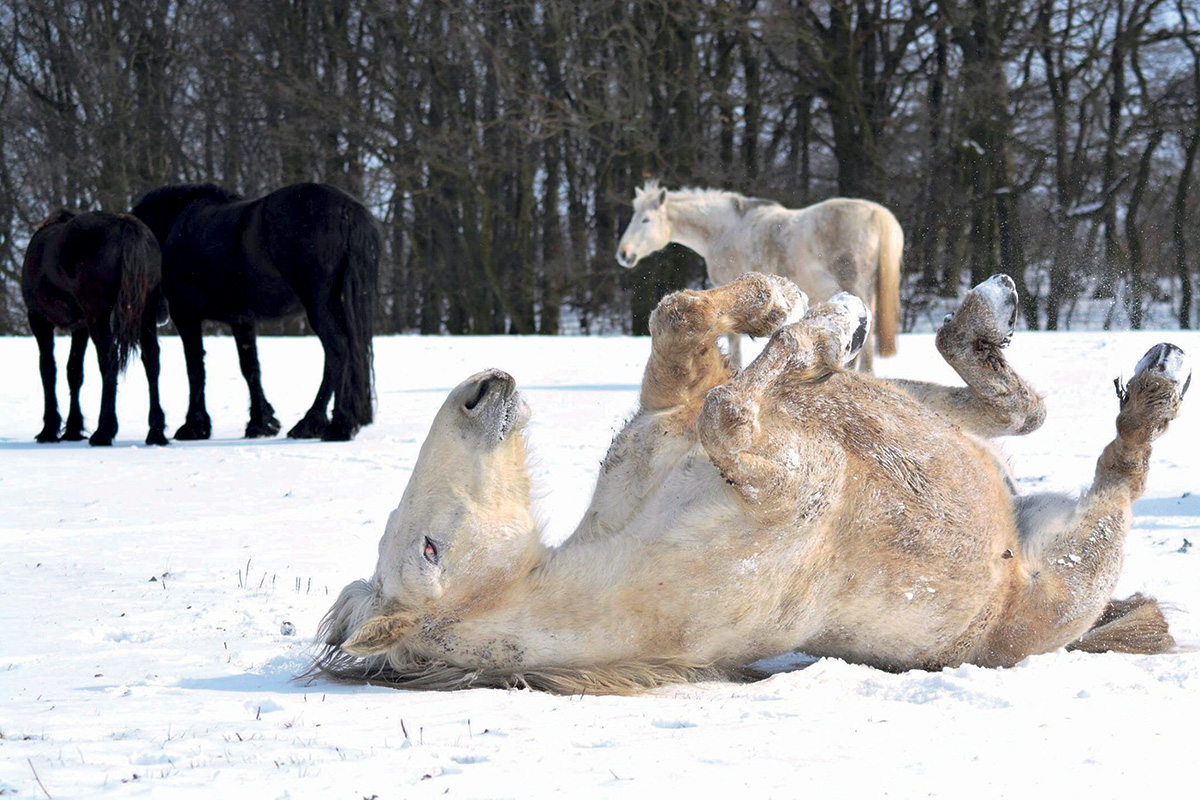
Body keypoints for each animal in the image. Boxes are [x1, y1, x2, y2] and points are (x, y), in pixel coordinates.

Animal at [21, 209, 168, 448]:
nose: (164, 312)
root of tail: (125, 225)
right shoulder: (80, 328)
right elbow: (74, 371)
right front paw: (72, 429)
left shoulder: (39, 320)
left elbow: (48, 370)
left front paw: (49, 429)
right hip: (145, 314)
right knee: (152, 360)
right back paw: (156, 432)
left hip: (98, 317)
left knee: (109, 360)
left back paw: (104, 431)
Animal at [130, 181, 376, 441]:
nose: (156, 315)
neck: (176, 228)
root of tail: (347, 208)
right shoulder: (242, 319)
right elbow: (250, 368)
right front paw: (261, 422)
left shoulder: (186, 316)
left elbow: (195, 368)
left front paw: (194, 426)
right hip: (333, 305)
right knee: (339, 353)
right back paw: (314, 423)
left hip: (319, 306)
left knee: (337, 349)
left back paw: (335, 426)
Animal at [314, 273, 1185, 695]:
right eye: (429, 551)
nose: (481, 389)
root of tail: (1014, 523)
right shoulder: (773, 485)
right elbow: (729, 406)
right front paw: (827, 319)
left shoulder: (667, 409)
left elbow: (679, 323)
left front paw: (797, 306)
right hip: (1072, 570)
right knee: (1117, 469)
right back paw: (1153, 388)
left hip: (929, 418)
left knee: (1015, 408)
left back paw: (975, 316)